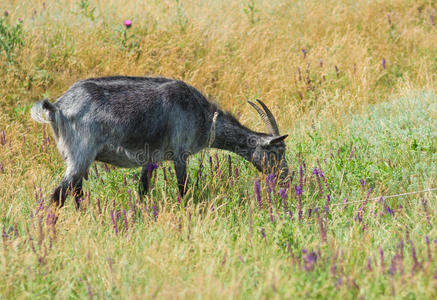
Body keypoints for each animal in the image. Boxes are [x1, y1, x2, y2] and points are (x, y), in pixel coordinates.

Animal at [31, 77, 290, 209]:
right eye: (277, 151)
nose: (285, 179)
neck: (205, 117)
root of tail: (58, 107)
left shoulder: (152, 157)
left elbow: (143, 189)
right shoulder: (180, 153)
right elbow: (183, 187)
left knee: (75, 193)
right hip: (80, 155)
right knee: (58, 195)